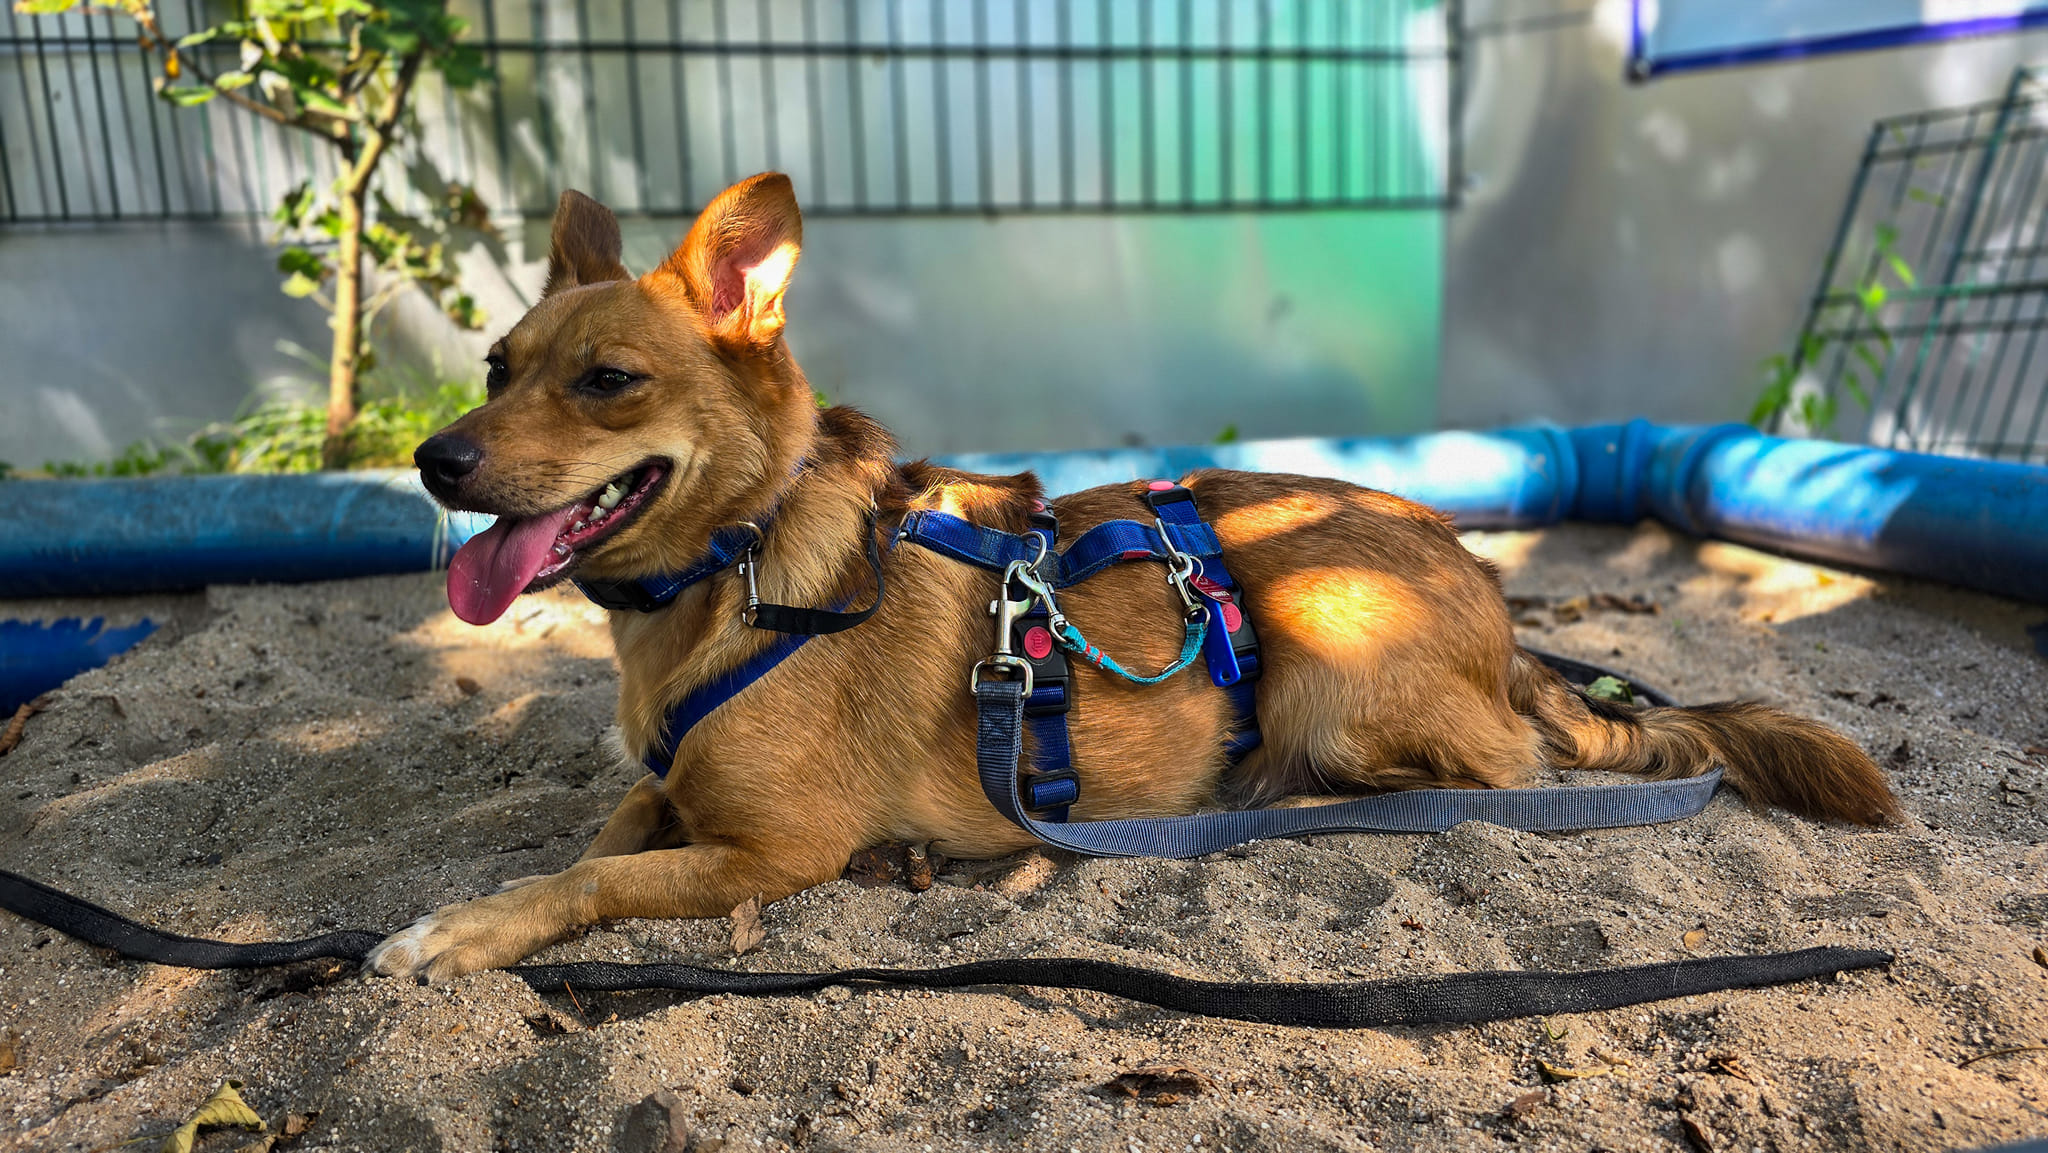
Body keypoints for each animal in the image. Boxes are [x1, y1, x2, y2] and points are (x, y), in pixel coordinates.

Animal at [367, 173, 1900, 982]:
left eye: (607, 382)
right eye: (495, 367)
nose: (432, 461)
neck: (742, 573)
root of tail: (1491, 599)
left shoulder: (771, 854)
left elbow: (593, 880)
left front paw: (463, 927)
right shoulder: (672, 792)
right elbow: (601, 832)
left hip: (1326, 646)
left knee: (1491, 770)